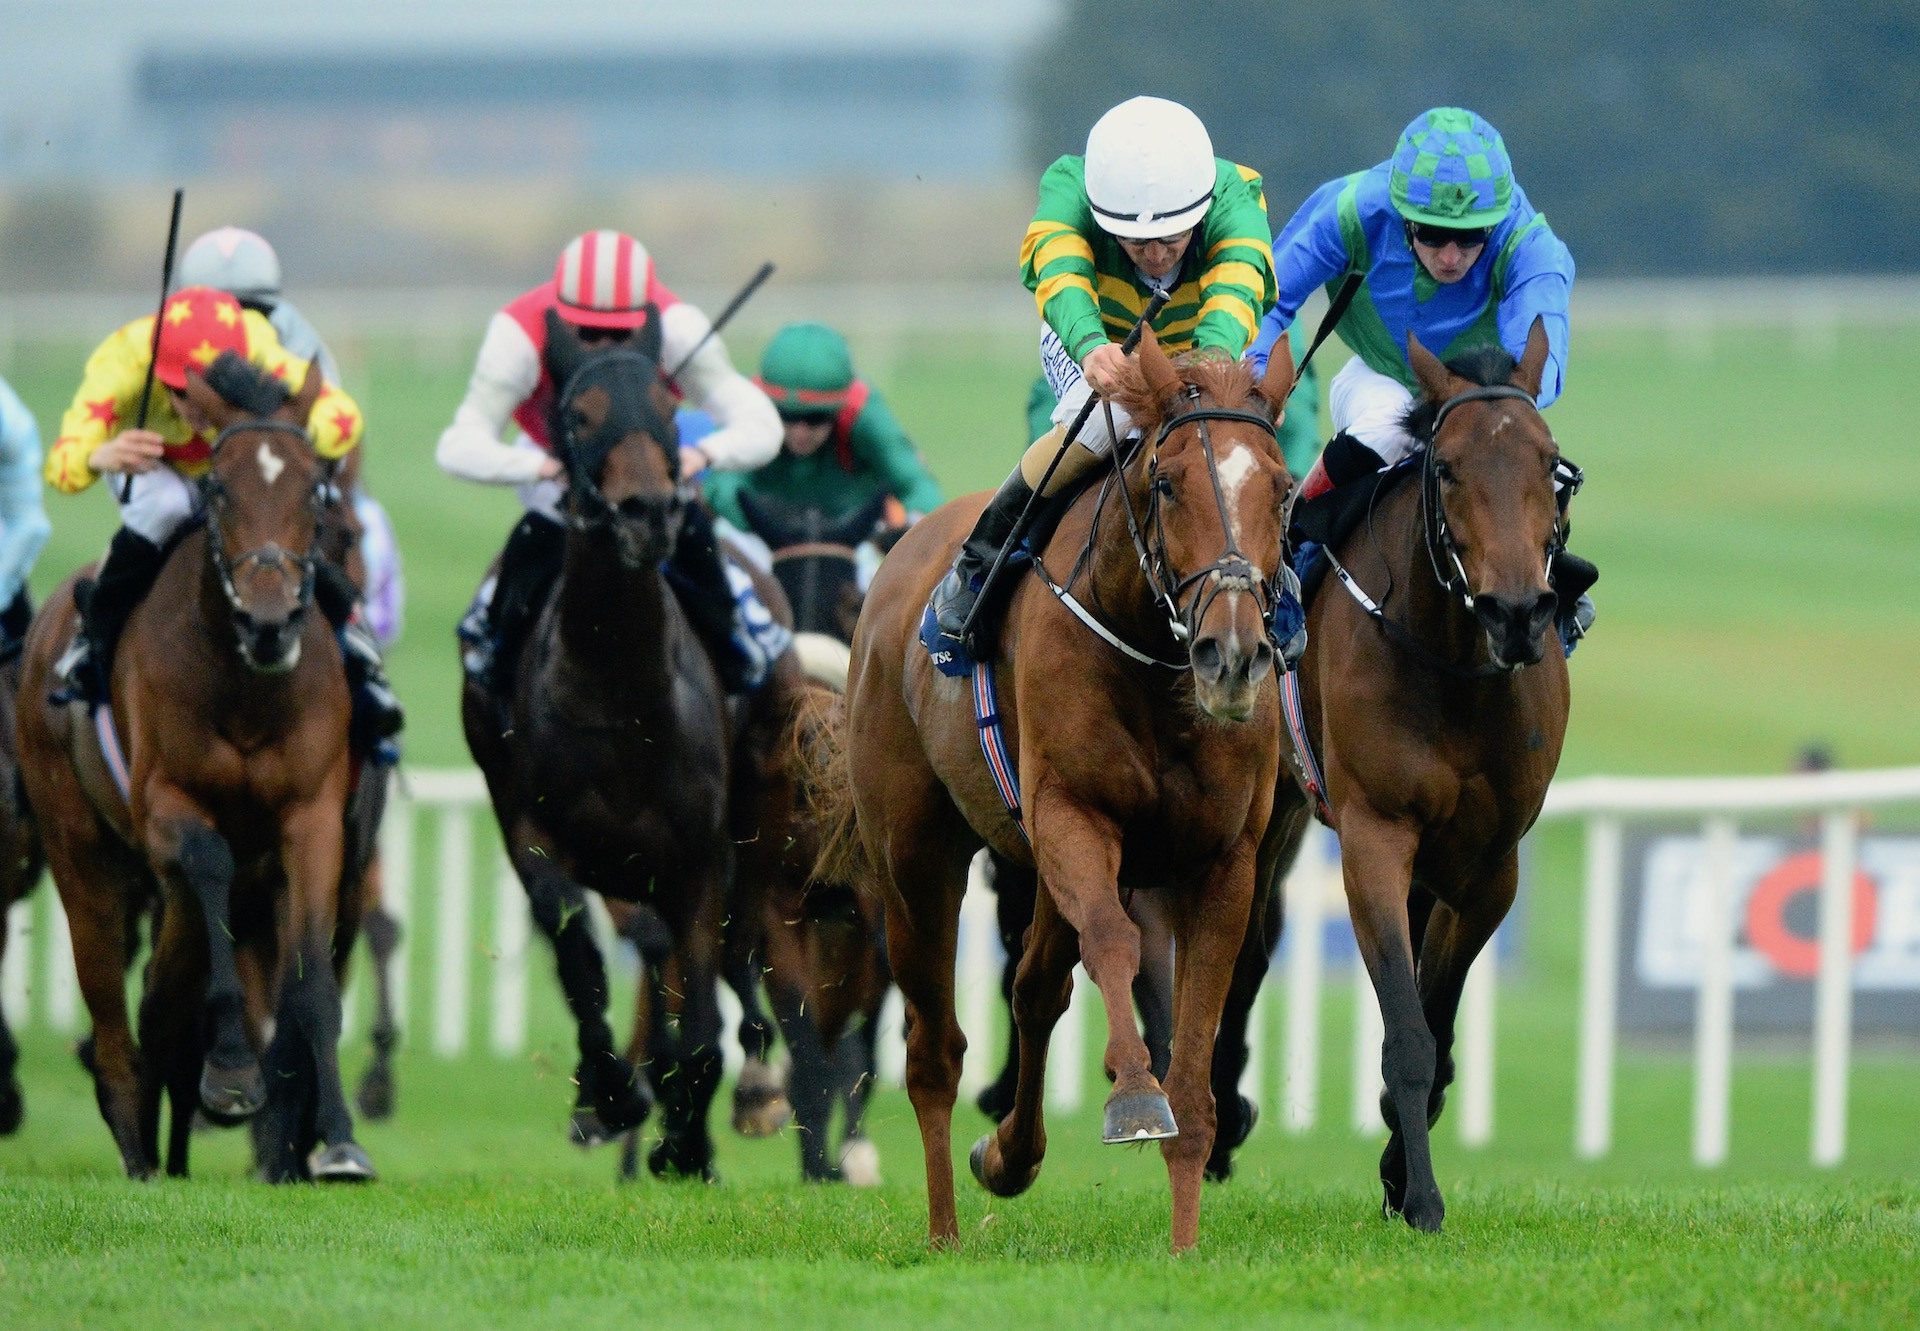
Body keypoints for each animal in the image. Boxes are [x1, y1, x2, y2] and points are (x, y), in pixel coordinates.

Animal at [18, 353, 374, 1175]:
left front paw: (339, 1140)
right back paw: (138, 1147)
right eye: (218, 488)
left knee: (159, 996)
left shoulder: (313, 817)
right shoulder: (168, 806)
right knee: (114, 1010)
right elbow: (209, 866)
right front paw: (234, 1073)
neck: (246, 687)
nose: (270, 621)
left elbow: (311, 983)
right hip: (81, 852)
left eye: (313, 492)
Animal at [817, 330, 1297, 1244]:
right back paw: (944, 1227)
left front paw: (1184, 1240)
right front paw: (1134, 1097)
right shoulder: (1073, 815)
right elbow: (1112, 938)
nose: (1231, 654)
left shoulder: (1225, 860)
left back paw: (1010, 1155)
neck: (1156, 664)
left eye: (1284, 488)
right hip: (914, 854)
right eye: (1167, 481)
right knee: (934, 1049)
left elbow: (1193, 1062)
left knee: (1036, 986)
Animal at [1259, 324, 1574, 1236]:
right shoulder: (1375, 835)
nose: (1517, 611)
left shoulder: (1489, 866)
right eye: (1450, 468)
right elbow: (1408, 1034)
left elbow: (1436, 1023)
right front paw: (1424, 1197)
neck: (1454, 665)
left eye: (1549, 461)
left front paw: (1403, 1172)